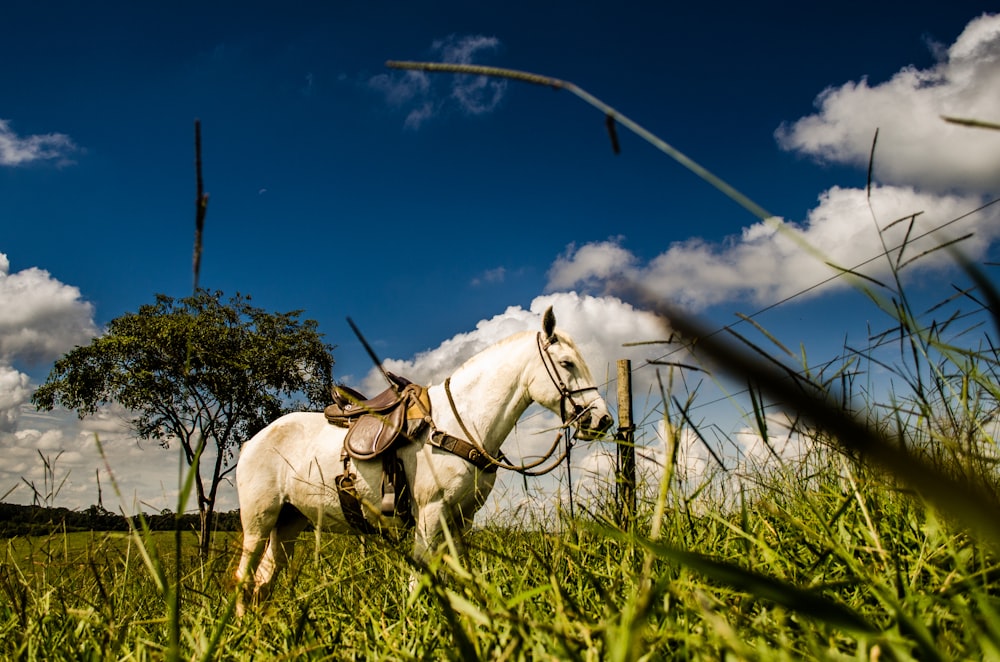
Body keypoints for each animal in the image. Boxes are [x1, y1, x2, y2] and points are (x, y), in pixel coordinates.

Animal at [235, 308, 612, 616]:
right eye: (567, 364)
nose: (602, 420)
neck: (460, 424)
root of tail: (252, 441)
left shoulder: (461, 519)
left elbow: (459, 575)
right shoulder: (430, 515)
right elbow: (419, 579)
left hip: (288, 522)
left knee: (265, 580)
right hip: (258, 521)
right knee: (244, 576)